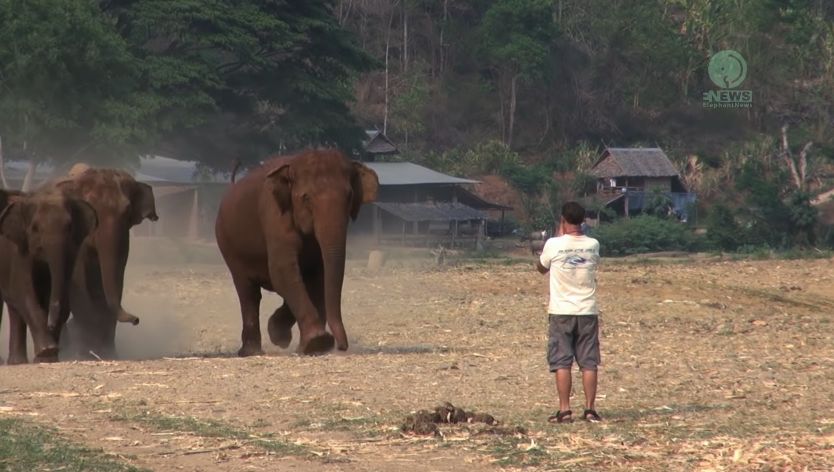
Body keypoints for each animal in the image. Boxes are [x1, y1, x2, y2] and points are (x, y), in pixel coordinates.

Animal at [0, 188, 97, 366]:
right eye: (35, 228)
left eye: (70, 227)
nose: (50, 324)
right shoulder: (19, 251)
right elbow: (25, 295)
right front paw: (47, 351)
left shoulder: (71, 252)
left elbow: (62, 297)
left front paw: (49, 357)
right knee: (15, 303)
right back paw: (18, 362)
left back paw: (18, 361)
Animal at [51, 166, 158, 358]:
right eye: (90, 210)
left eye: (127, 211)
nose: (136, 319)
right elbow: (80, 280)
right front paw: (87, 352)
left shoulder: (123, 238)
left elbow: (115, 278)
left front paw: (108, 353)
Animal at [214, 149, 376, 356]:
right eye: (306, 198)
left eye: (349, 196)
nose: (341, 346)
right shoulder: (273, 215)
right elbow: (282, 270)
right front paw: (317, 342)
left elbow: (316, 277)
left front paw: (283, 336)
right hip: (228, 245)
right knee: (248, 291)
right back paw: (251, 351)